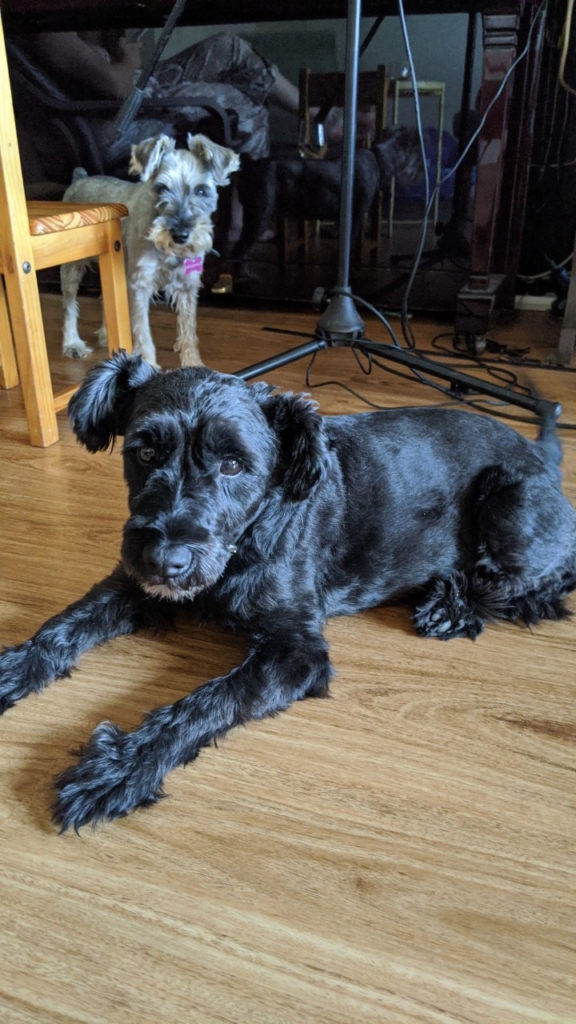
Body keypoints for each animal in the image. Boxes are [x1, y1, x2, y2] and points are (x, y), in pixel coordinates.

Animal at [1, 353, 575, 832]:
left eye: (234, 464)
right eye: (144, 452)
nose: (166, 561)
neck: (246, 540)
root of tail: (538, 451)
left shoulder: (296, 650)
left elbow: (208, 700)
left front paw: (120, 769)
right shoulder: (133, 583)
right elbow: (64, 624)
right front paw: (15, 669)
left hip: (509, 506)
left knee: (536, 585)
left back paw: (451, 608)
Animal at [61, 133, 239, 368]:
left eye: (201, 190)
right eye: (162, 188)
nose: (180, 235)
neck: (170, 253)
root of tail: (79, 179)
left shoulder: (187, 287)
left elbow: (189, 331)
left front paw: (194, 365)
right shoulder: (140, 285)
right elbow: (142, 331)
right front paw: (148, 366)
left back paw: (106, 335)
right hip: (72, 267)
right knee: (69, 305)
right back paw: (72, 343)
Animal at [230, 125, 423, 271]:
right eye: (416, 152)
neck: (377, 158)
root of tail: (249, 165)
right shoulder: (355, 217)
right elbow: (350, 245)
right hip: (258, 215)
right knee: (239, 251)